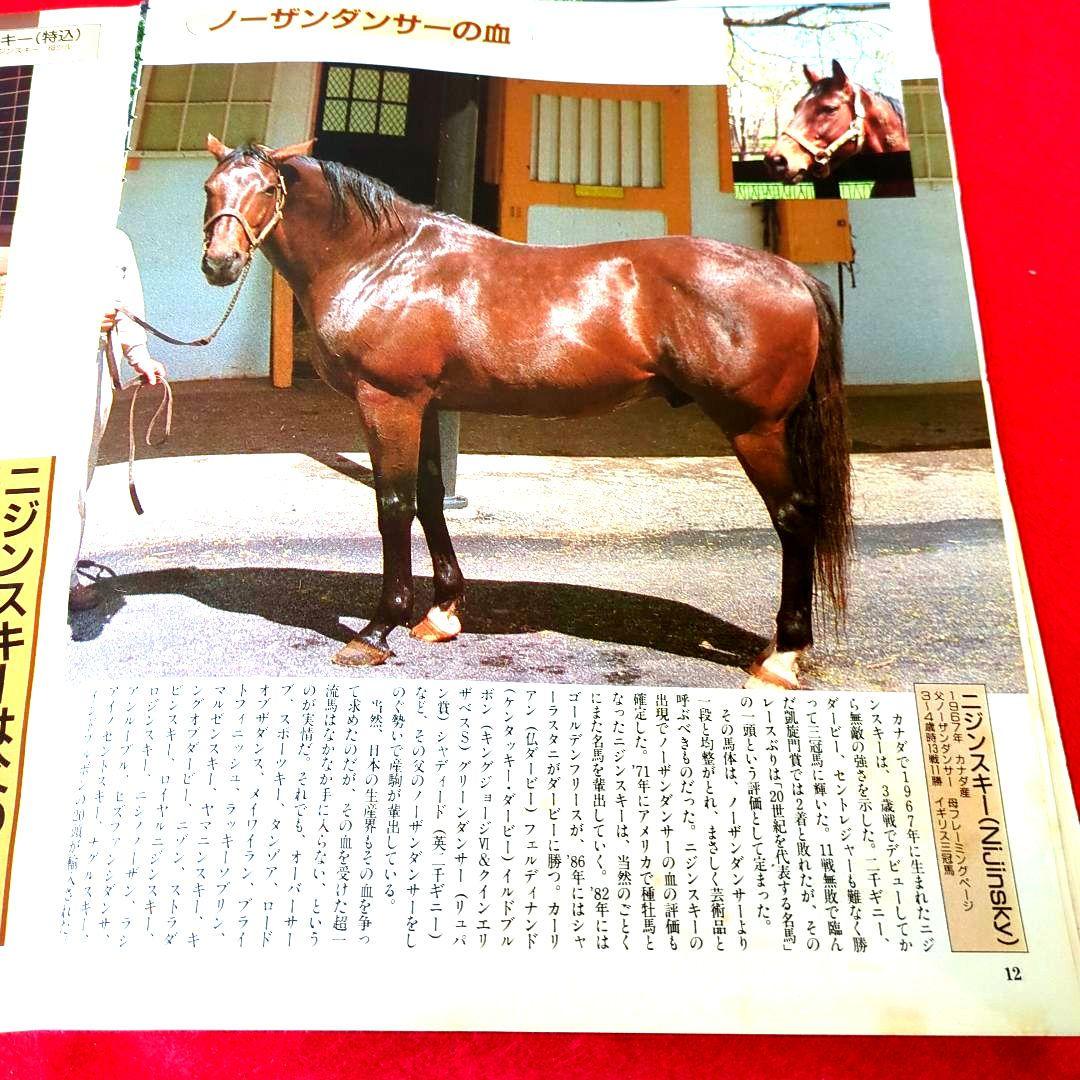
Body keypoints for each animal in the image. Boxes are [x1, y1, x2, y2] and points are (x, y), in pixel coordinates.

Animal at [200, 134, 853, 690]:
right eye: (210, 187)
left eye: (266, 190)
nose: (219, 263)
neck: (382, 261)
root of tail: (792, 274)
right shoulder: (428, 405)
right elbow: (431, 499)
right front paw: (441, 614)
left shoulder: (389, 403)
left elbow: (395, 507)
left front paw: (378, 630)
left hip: (755, 430)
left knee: (794, 518)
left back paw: (781, 657)